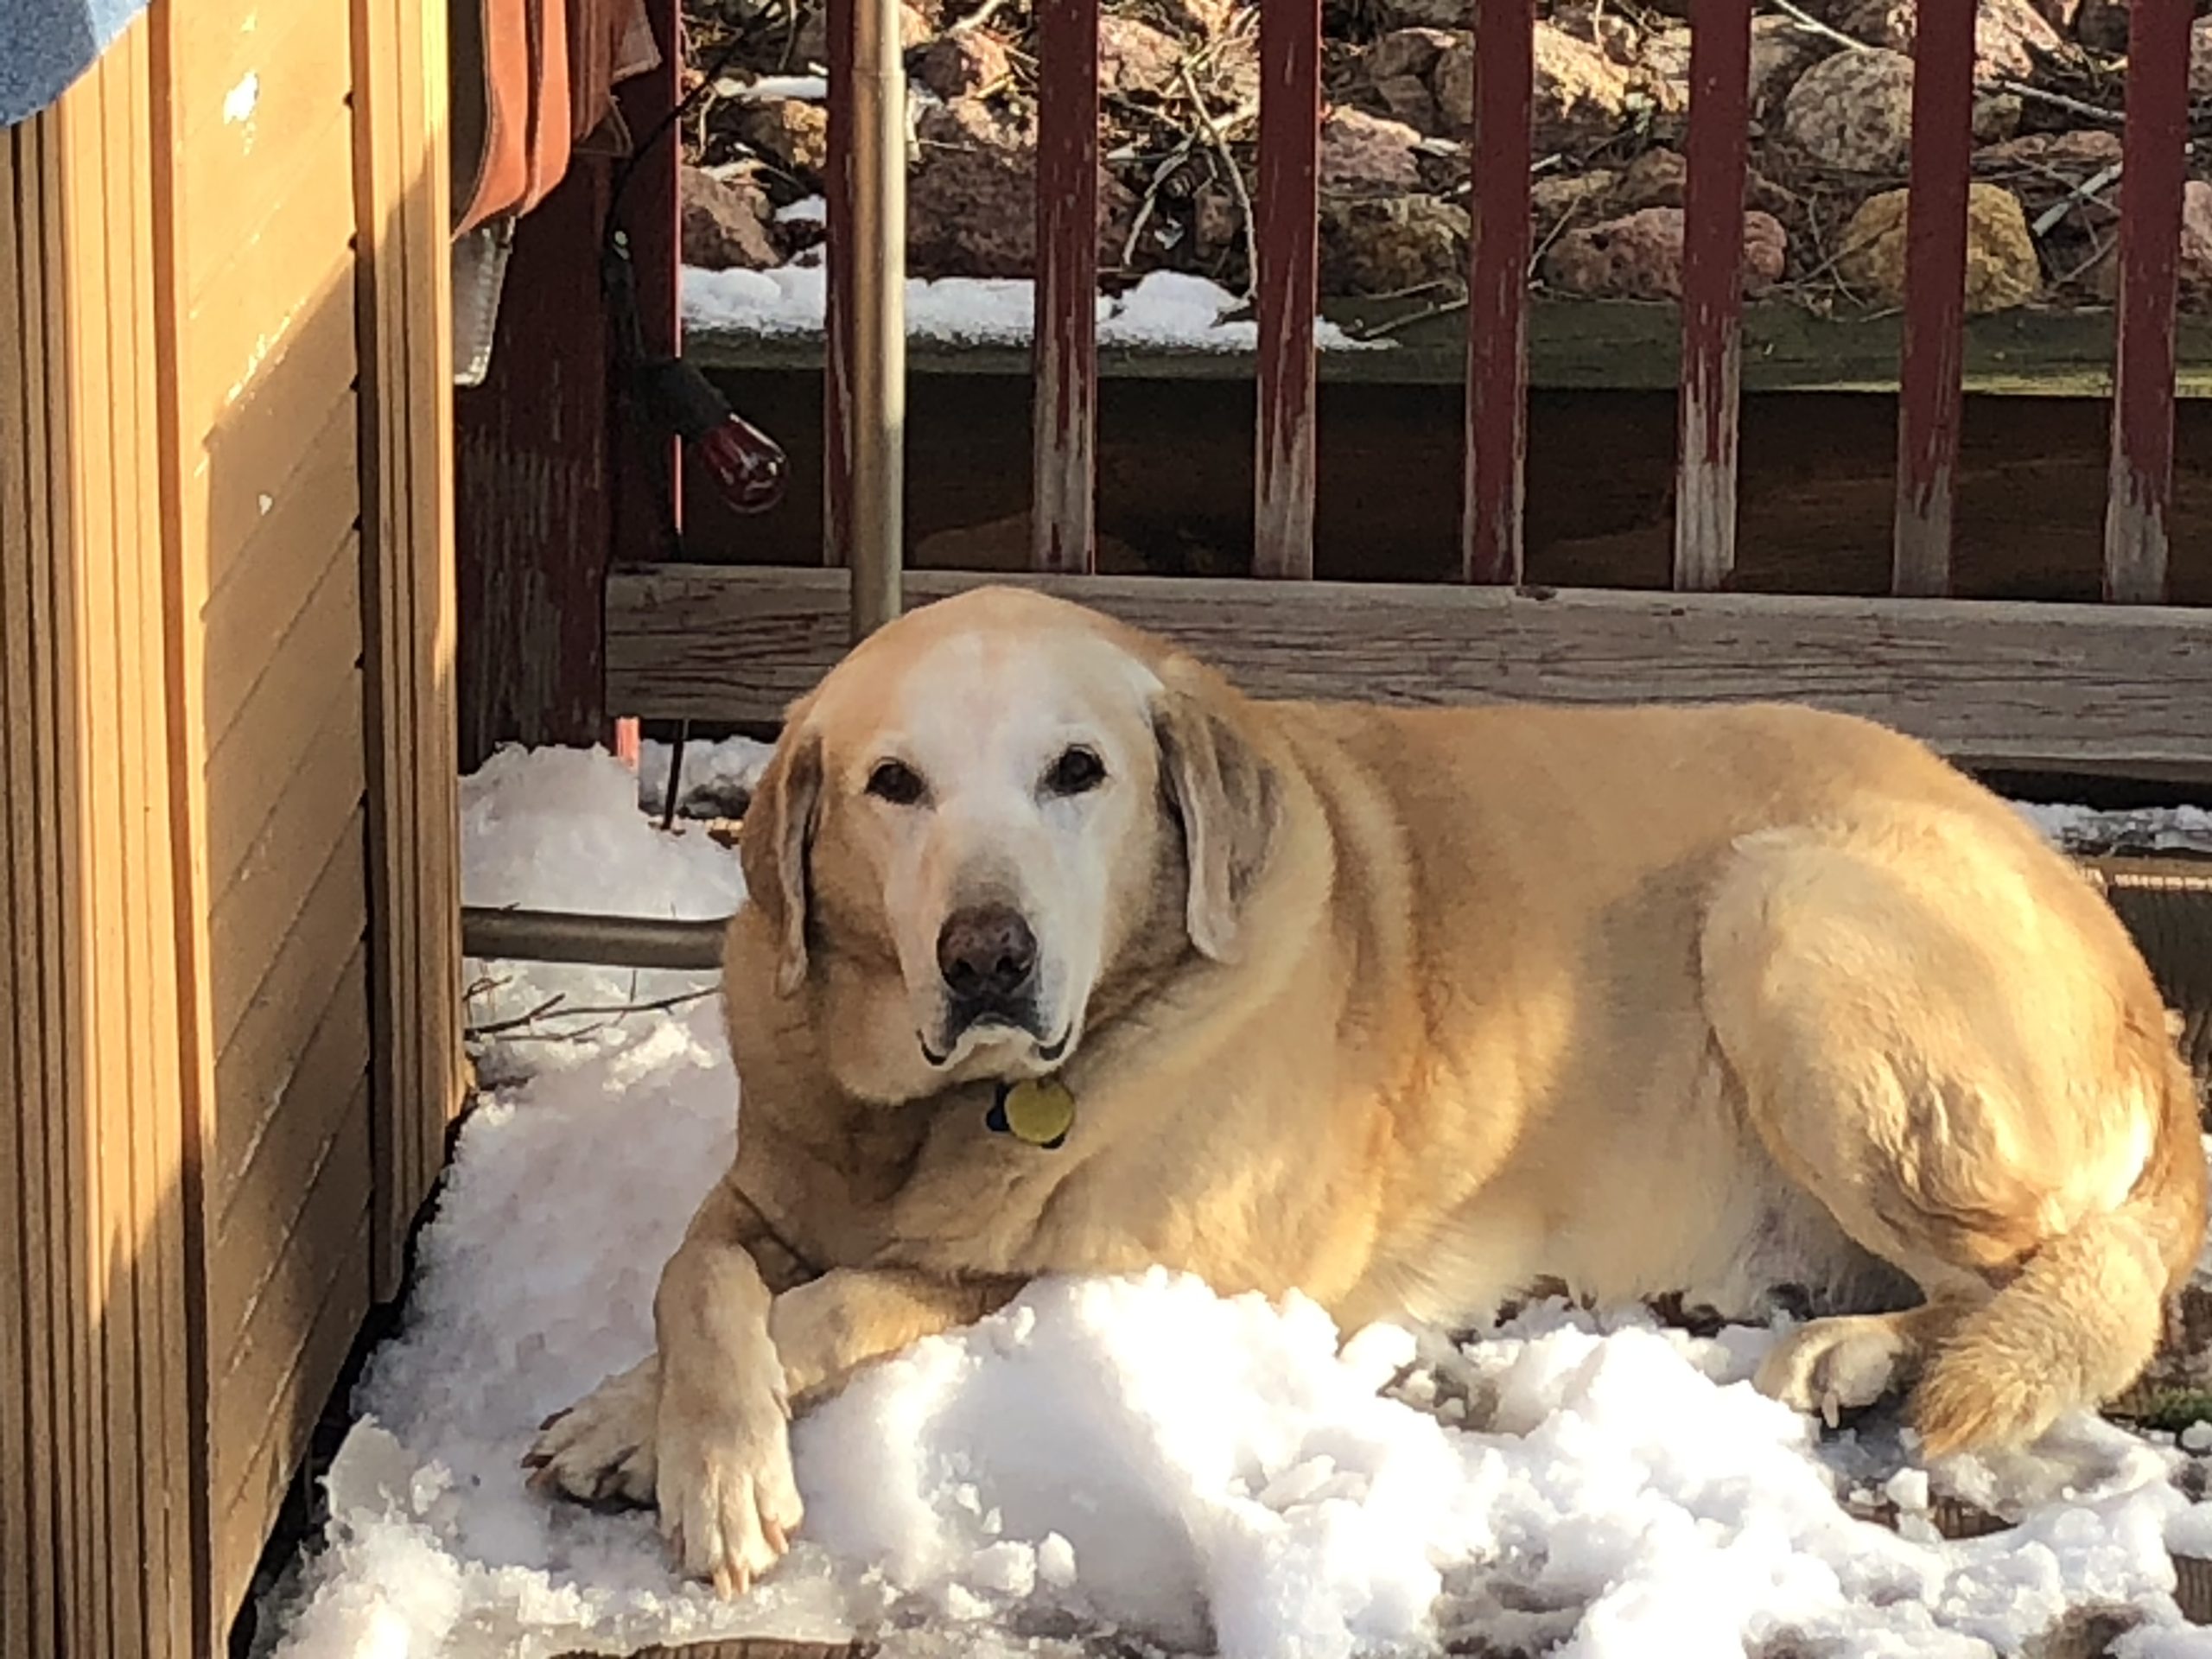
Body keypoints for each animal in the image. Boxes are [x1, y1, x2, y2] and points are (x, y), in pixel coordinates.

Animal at [528, 584, 2206, 1597]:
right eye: (894, 786)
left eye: (1079, 773)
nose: (987, 958)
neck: (942, 1117)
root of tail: (2120, 945)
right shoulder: (760, 1183)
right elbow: (700, 1281)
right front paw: (650, 1422)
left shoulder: (1125, 1273)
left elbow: (847, 1297)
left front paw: (692, 1466)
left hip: (1785, 913)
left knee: (2056, 1281)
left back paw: (1858, 1355)